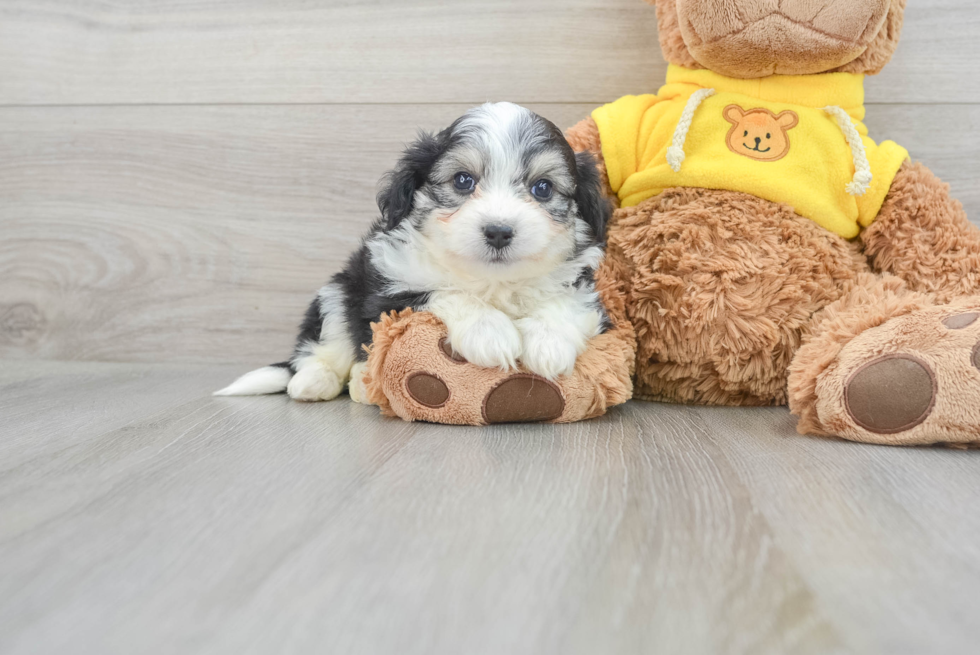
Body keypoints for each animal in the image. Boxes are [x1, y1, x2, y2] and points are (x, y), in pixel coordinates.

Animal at [217, 104, 608, 400]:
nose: (498, 231)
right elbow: (443, 292)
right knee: (326, 343)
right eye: (463, 180)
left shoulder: (586, 292)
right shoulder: (387, 292)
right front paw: (489, 332)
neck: (490, 282)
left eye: (543, 188)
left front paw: (549, 342)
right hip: (337, 291)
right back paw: (318, 381)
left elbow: (566, 304)